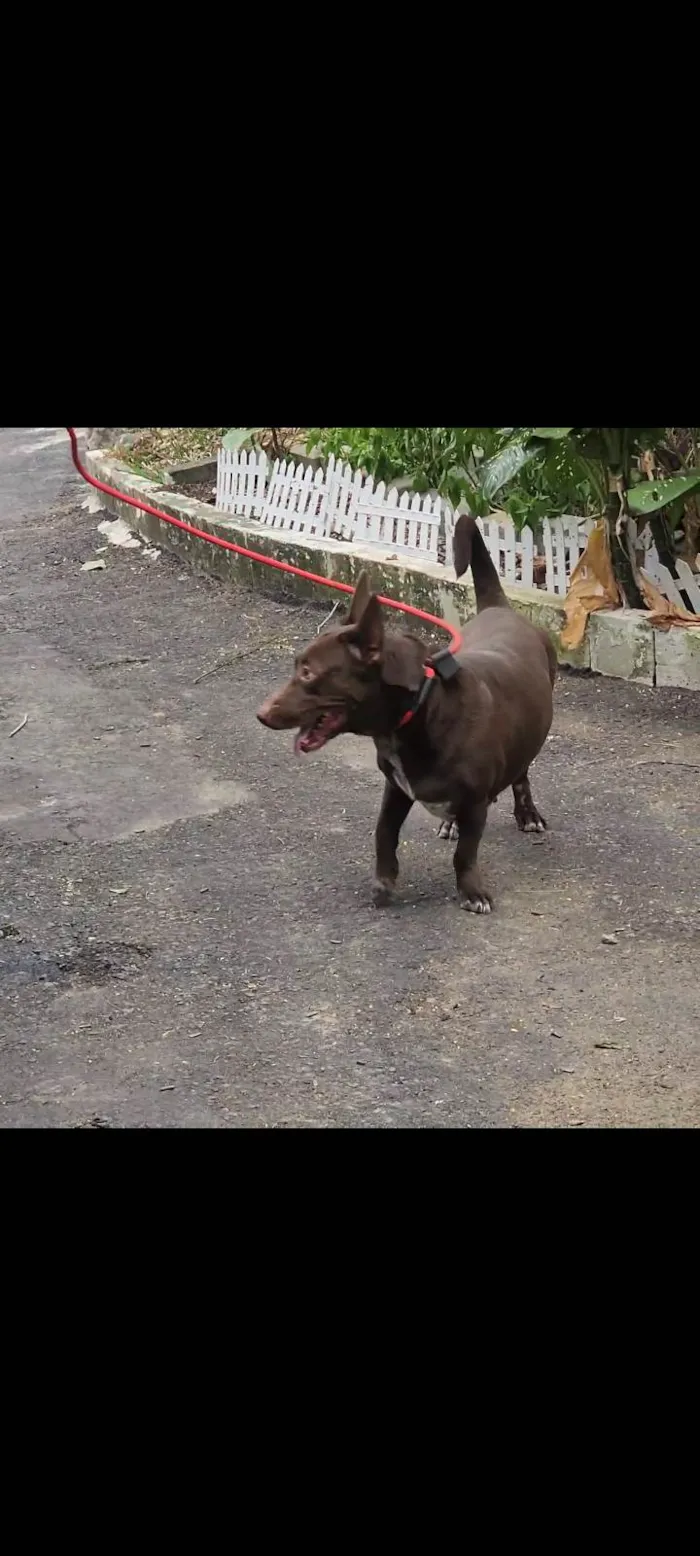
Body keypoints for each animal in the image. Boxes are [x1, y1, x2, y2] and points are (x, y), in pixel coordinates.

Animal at [256, 516, 556, 908]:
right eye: (297, 666)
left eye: (308, 672)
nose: (261, 713)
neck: (419, 712)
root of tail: (499, 607)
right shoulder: (396, 788)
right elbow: (384, 832)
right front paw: (384, 881)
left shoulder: (475, 802)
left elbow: (465, 853)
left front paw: (471, 890)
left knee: (521, 774)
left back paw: (527, 813)